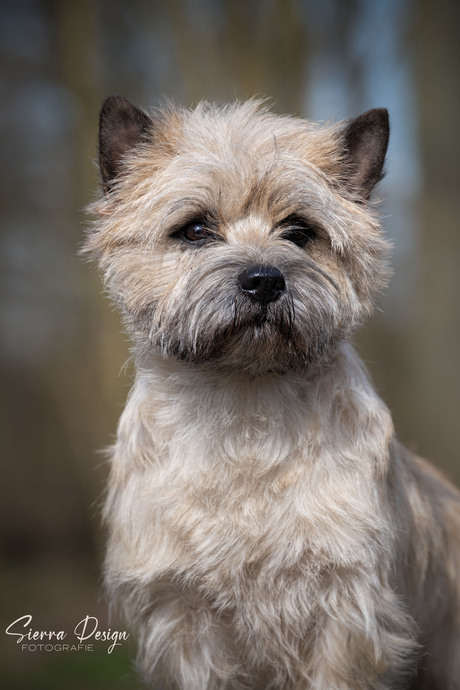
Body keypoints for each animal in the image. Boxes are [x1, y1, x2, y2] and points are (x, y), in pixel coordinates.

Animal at [84, 94, 460, 684]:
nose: (264, 280)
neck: (245, 411)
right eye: (195, 230)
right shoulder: (182, 614)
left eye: (299, 231)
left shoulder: (346, 608)